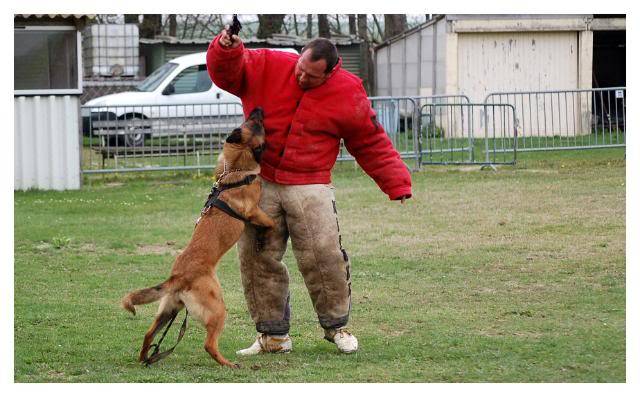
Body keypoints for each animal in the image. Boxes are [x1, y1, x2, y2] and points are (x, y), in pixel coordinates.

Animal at [121, 106, 274, 366]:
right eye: (256, 123)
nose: (259, 109)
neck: (235, 168)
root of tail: (178, 277)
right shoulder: (254, 211)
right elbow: (270, 222)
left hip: (168, 310)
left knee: (148, 334)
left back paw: (145, 358)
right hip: (217, 309)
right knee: (209, 344)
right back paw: (228, 364)